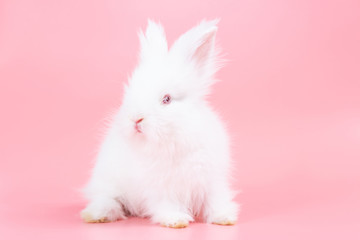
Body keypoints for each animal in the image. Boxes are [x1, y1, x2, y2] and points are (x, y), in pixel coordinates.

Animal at [81, 19, 239, 228]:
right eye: (128, 93)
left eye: (167, 99)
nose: (136, 118)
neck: (173, 140)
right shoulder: (161, 188)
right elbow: (167, 204)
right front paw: (176, 220)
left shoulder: (212, 180)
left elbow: (216, 200)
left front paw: (225, 218)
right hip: (107, 183)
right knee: (107, 200)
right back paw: (96, 216)